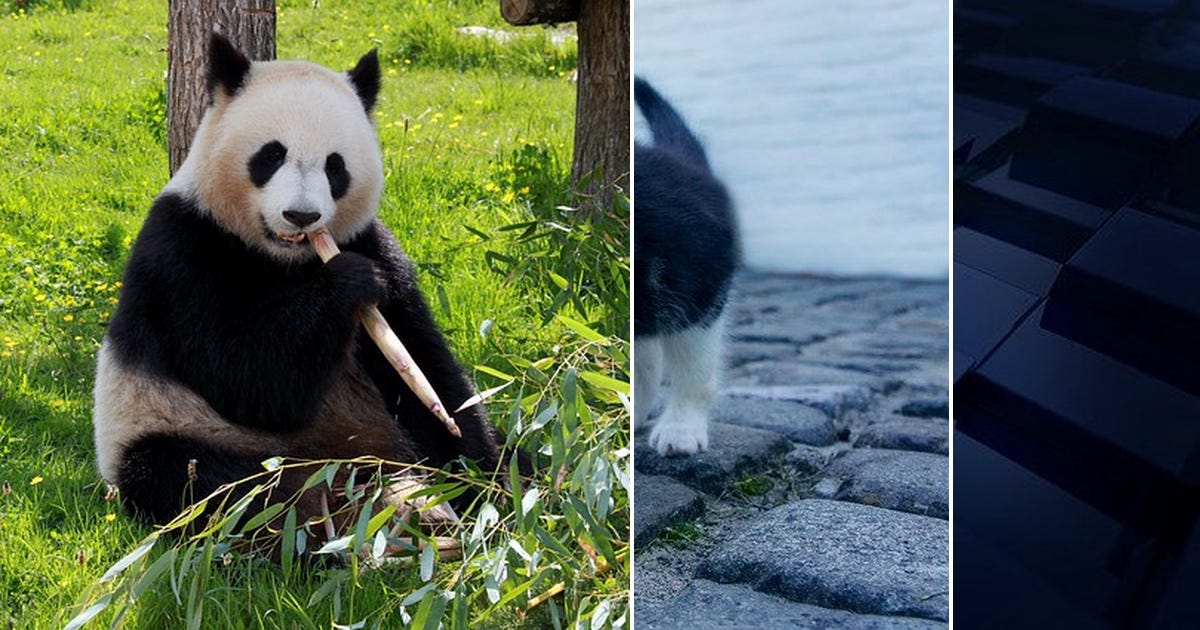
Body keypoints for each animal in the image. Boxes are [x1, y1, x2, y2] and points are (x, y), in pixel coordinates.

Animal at [93, 34, 502, 531]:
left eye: (335, 166)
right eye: (272, 155)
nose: (301, 215)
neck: (287, 259)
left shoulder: (372, 242)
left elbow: (423, 367)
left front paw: (478, 474)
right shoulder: (184, 250)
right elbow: (247, 378)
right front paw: (348, 283)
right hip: (169, 426)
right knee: (200, 482)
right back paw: (320, 522)